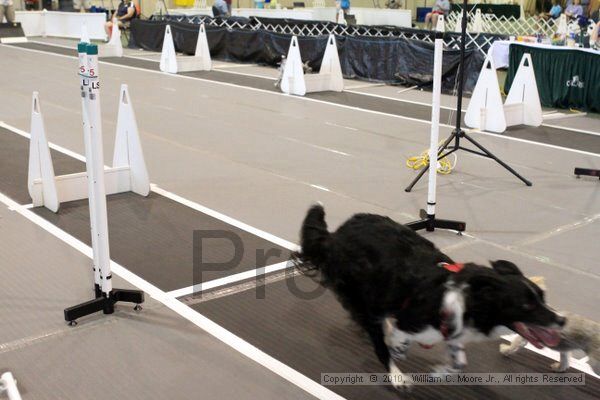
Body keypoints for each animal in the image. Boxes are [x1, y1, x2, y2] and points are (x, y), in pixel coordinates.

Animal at [296, 206, 568, 390]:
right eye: (527, 305)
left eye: (542, 296)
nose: (561, 320)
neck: (468, 299)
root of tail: (336, 235)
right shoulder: (411, 319)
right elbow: (394, 343)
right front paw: (398, 365)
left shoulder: (450, 331)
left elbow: (459, 362)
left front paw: (441, 372)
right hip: (363, 296)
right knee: (376, 332)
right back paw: (395, 369)